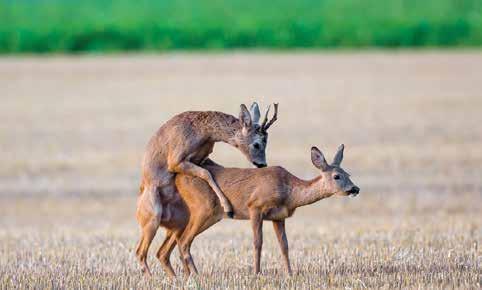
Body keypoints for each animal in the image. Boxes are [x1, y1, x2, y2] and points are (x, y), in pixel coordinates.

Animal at [136, 103, 278, 276]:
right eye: (257, 143)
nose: (262, 164)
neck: (203, 132)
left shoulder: (202, 157)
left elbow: (210, 170)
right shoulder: (175, 161)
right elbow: (207, 173)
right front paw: (228, 207)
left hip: (179, 222)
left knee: (163, 252)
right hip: (153, 218)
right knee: (140, 253)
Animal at [154, 144, 358, 276]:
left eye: (349, 173)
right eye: (337, 176)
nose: (355, 189)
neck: (288, 191)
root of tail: (178, 176)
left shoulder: (279, 217)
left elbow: (284, 245)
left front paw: (290, 274)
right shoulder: (255, 207)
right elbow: (257, 242)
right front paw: (256, 273)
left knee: (172, 244)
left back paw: (185, 276)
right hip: (204, 208)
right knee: (184, 241)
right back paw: (196, 276)